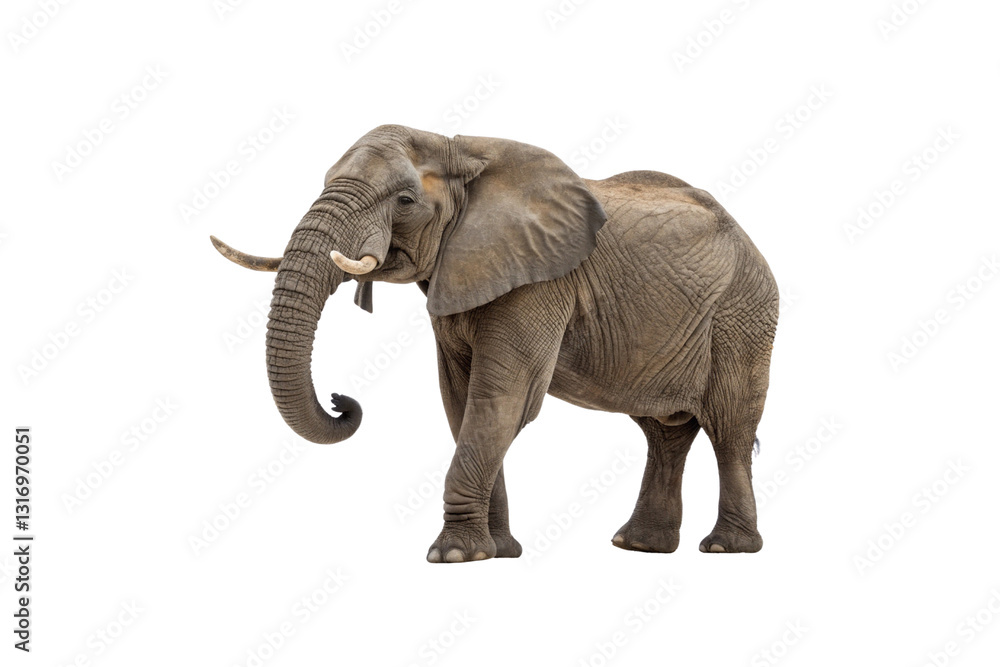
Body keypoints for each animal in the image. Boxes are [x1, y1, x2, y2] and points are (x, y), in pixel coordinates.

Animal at [211, 124, 778, 563]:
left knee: (729, 426)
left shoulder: (542, 281)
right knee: (665, 432)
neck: (459, 149)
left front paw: (453, 555)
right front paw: (498, 551)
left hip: (742, 315)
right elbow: (461, 402)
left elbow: (502, 398)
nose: (340, 400)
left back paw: (726, 548)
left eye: (404, 201)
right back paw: (638, 546)